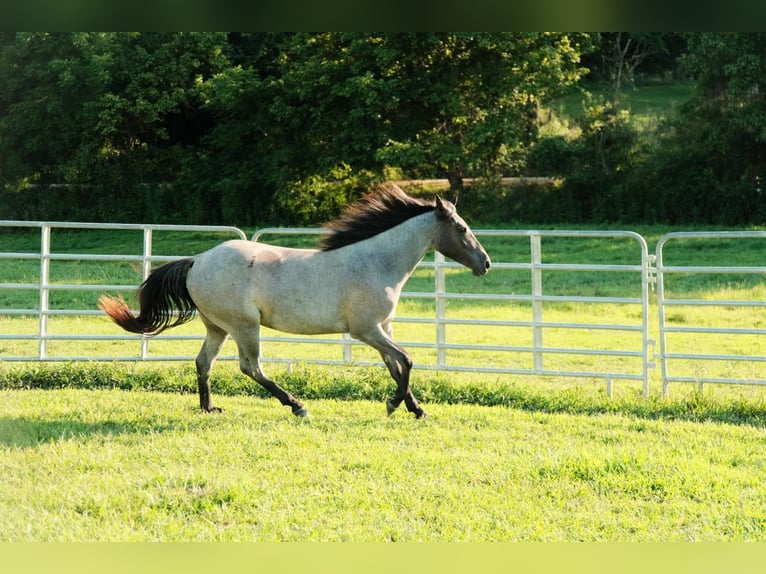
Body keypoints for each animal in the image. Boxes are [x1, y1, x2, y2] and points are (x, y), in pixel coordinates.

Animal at [98, 183, 490, 418]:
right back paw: (297, 406)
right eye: (461, 228)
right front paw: (394, 405)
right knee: (250, 367)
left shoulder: (383, 328)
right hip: (245, 326)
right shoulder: (367, 330)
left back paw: (210, 408)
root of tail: (197, 260)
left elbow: (397, 367)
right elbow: (406, 361)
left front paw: (415, 409)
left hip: (218, 328)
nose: (484, 263)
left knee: (203, 363)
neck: (376, 261)